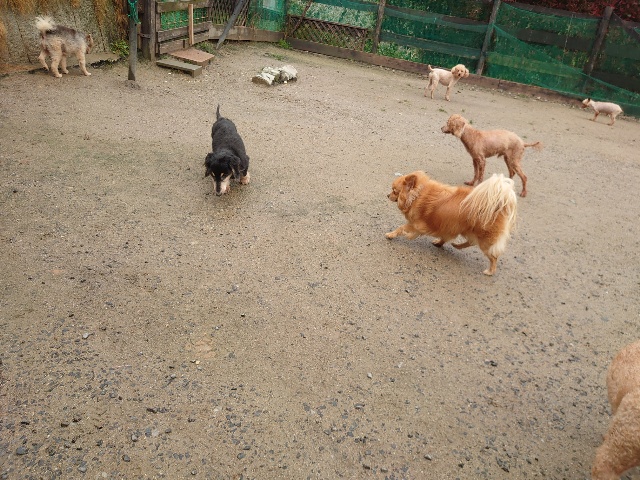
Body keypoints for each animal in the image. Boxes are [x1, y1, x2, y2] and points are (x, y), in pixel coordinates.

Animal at [386, 171, 517, 275]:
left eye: (394, 191)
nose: (387, 195)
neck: (418, 194)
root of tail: (499, 205)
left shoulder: (417, 225)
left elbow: (401, 228)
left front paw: (390, 235)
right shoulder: (445, 226)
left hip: (484, 240)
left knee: (493, 257)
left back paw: (490, 271)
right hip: (468, 231)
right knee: (470, 242)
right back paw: (454, 245)